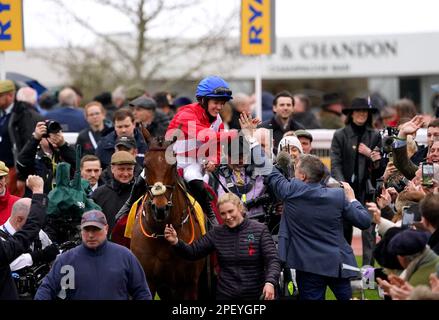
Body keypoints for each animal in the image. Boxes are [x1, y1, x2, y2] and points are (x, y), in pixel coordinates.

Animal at [131, 129, 206, 300]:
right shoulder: (148, 281)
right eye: (145, 164)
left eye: (173, 165)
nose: (160, 208)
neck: (160, 233)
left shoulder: (189, 283)